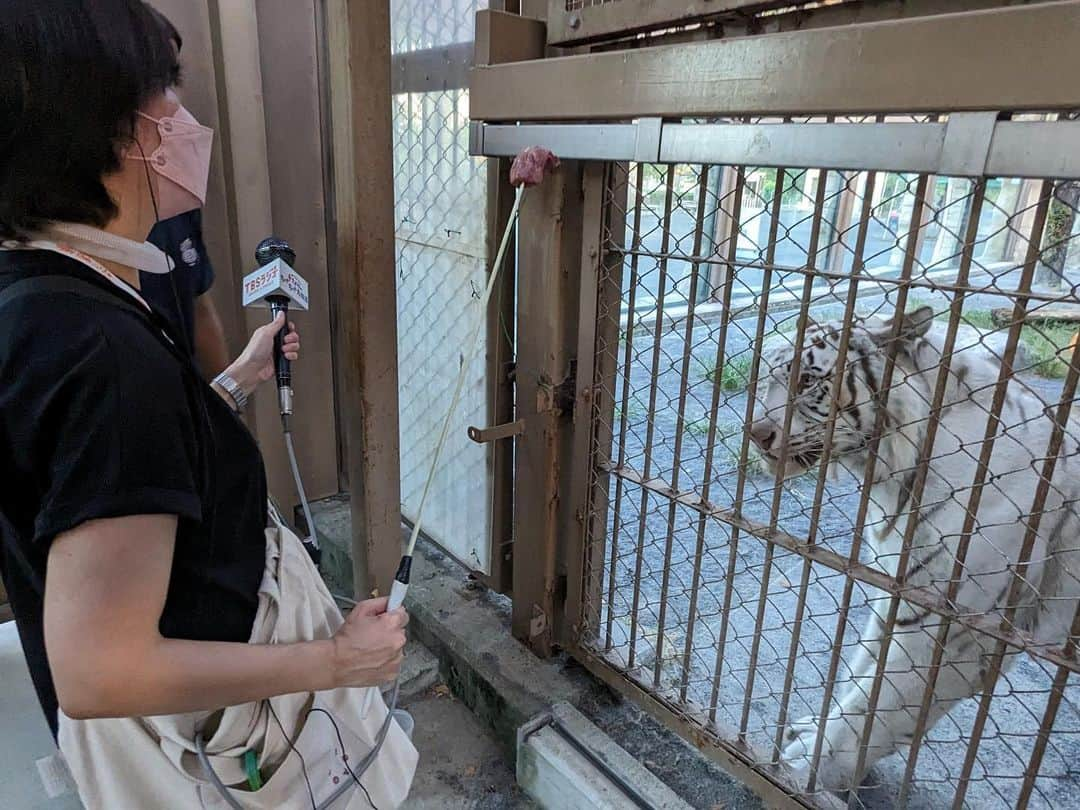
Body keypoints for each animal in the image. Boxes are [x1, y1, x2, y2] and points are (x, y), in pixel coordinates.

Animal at [747, 304, 1080, 794]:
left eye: (806, 380)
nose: (756, 433)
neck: (891, 474)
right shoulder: (897, 589)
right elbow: (859, 674)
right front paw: (812, 735)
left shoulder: (949, 629)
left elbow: (876, 709)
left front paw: (806, 770)